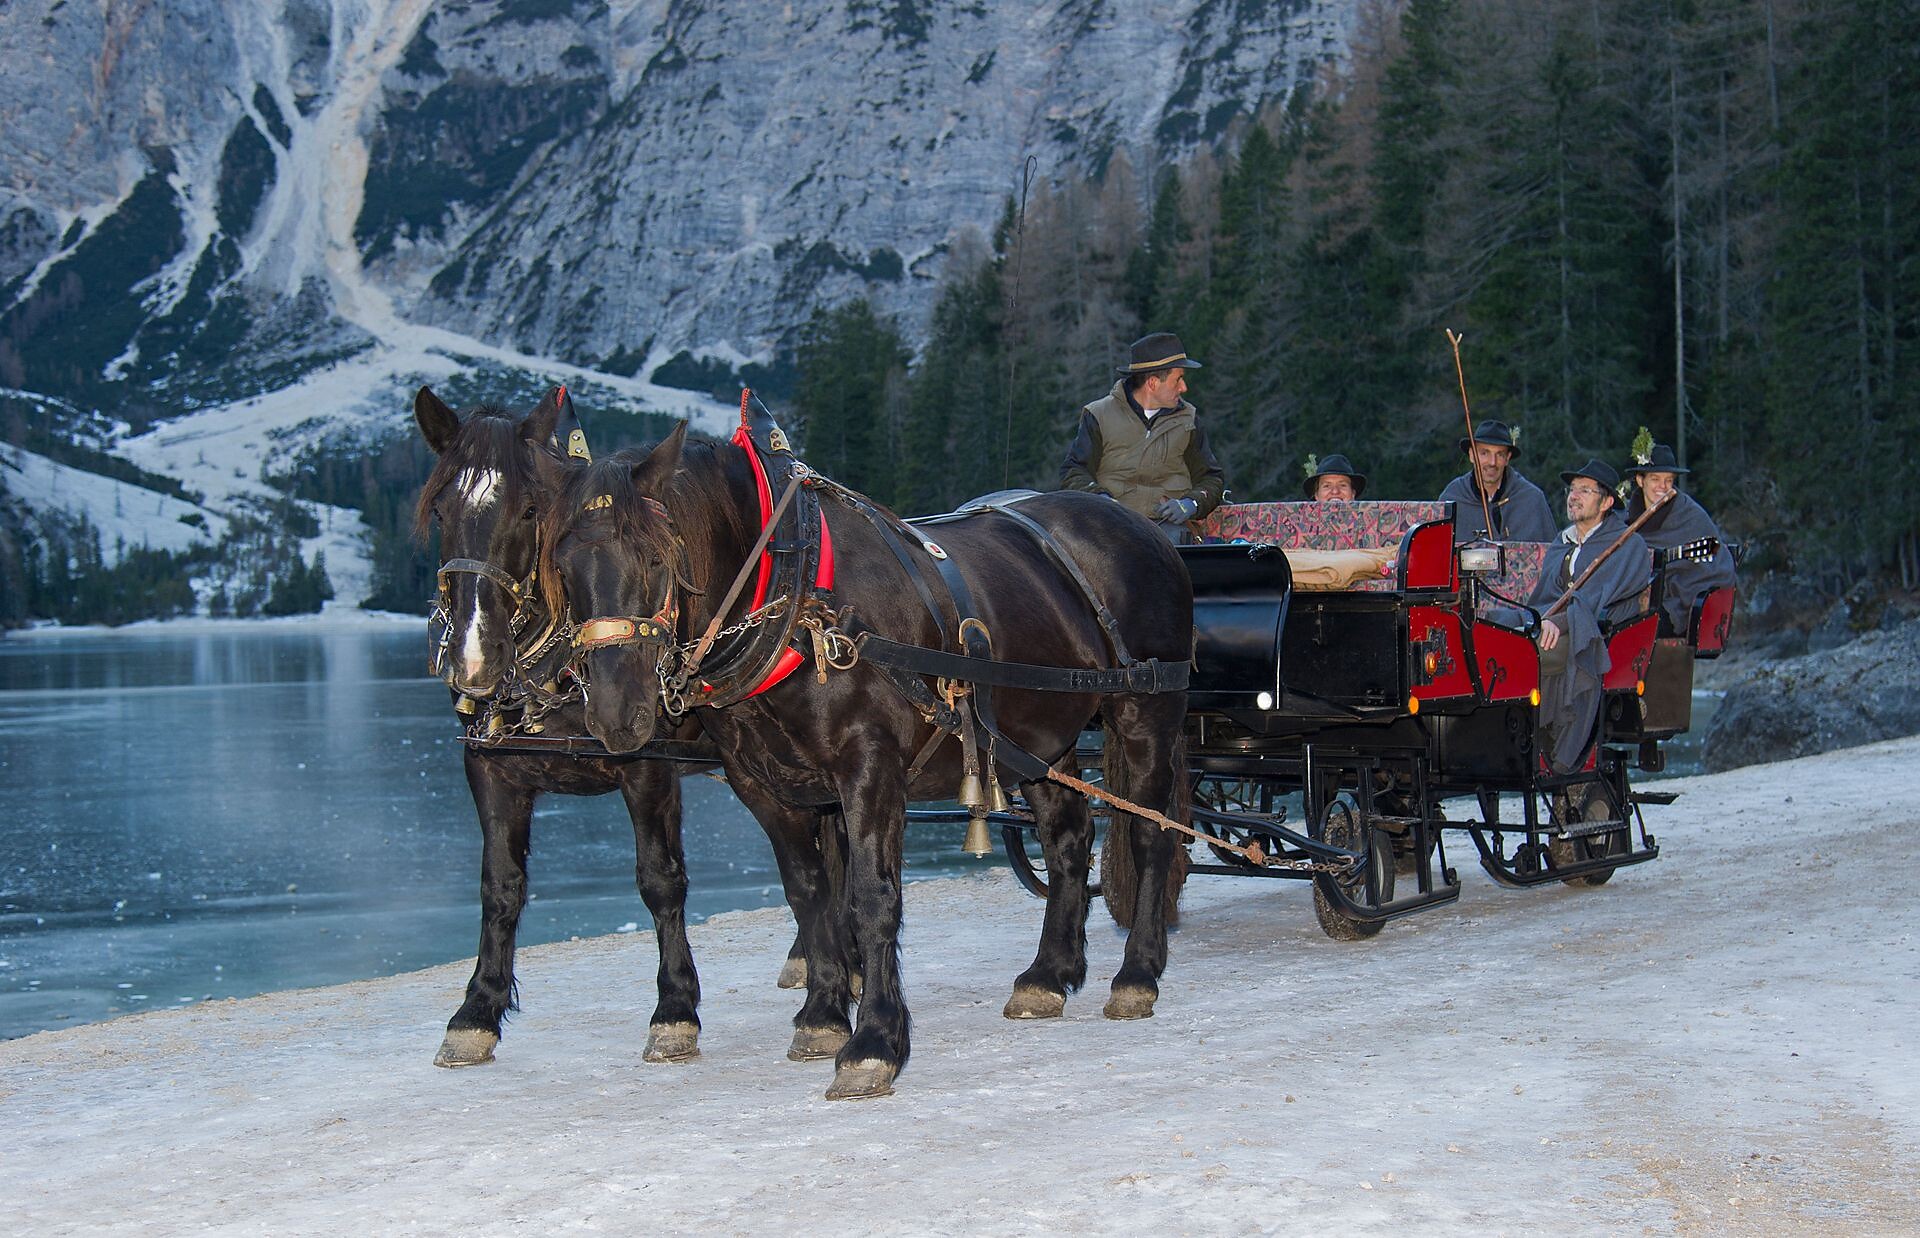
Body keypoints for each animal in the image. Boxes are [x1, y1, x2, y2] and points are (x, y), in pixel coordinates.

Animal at [534, 410, 1194, 1099]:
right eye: (560, 567)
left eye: (657, 557)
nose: (615, 712)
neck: (799, 602)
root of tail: (1140, 525)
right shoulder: (763, 784)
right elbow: (809, 894)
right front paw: (824, 1014)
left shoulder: (870, 767)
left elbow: (872, 898)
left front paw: (874, 1041)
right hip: (1038, 740)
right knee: (1068, 840)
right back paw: (1049, 974)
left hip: (1145, 713)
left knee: (1151, 836)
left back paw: (1138, 973)